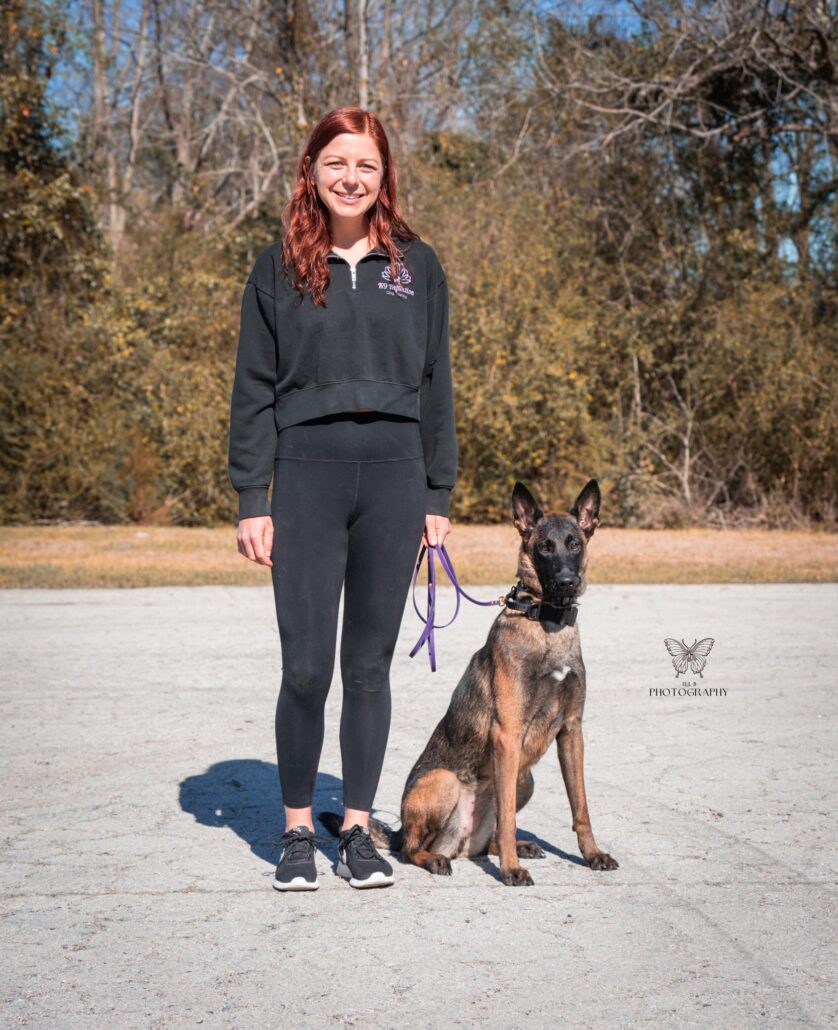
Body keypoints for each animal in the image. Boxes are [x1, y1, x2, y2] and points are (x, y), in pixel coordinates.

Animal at [321, 478, 618, 886]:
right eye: (544, 546)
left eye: (574, 543)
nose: (565, 582)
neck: (547, 624)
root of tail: (458, 842)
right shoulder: (508, 735)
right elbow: (507, 817)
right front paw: (511, 870)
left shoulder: (572, 732)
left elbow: (581, 806)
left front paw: (591, 855)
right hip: (446, 781)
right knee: (410, 848)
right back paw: (437, 858)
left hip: (525, 779)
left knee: (485, 840)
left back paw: (515, 847)